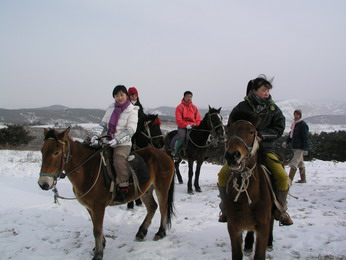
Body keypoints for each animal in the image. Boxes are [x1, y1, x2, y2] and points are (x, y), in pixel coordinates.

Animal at [37, 128, 176, 260]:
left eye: (56, 152)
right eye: (42, 151)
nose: (43, 184)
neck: (87, 170)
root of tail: (165, 155)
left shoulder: (98, 207)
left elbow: (97, 230)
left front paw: (98, 254)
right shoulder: (90, 207)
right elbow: (96, 227)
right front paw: (101, 245)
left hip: (161, 188)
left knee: (163, 208)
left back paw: (160, 232)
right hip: (145, 190)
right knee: (152, 207)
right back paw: (141, 232)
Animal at [223, 120, 274, 260]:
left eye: (251, 132)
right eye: (228, 132)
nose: (232, 155)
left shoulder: (263, 228)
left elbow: (259, 255)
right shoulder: (233, 228)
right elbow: (236, 255)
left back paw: (270, 243)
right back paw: (248, 245)